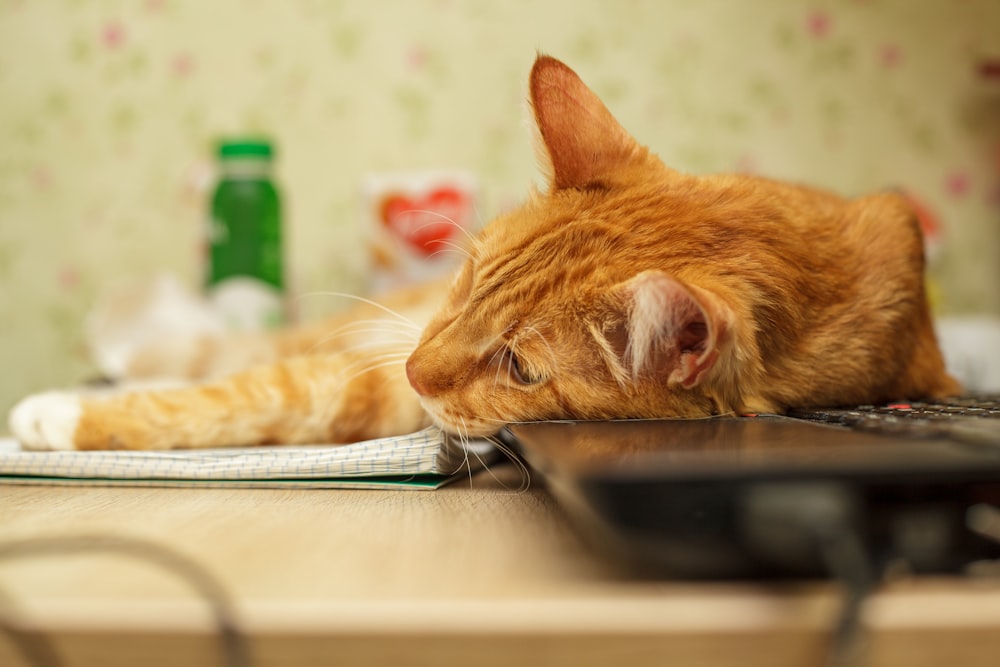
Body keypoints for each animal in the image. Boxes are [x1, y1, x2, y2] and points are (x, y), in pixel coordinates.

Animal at [7, 56, 960, 454]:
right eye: (468, 279)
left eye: (520, 367)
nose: (417, 364)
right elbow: (253, 385)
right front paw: (77, 401)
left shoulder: (398, 396)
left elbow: (265, 399)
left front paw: (66, 417)